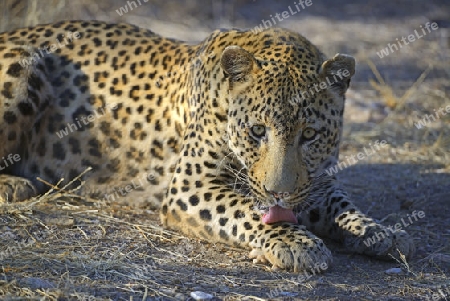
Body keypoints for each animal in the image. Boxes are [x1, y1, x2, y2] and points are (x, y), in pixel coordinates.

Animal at [0, 19, 414, 270]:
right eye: (257, 132)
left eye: (309, 135)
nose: (279, 193)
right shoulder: (191, 185)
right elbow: (247, 209)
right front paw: (299, 245)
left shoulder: (314, 185)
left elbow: (343, 206)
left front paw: (380, 232)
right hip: (21, 61)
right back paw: (15, 184)